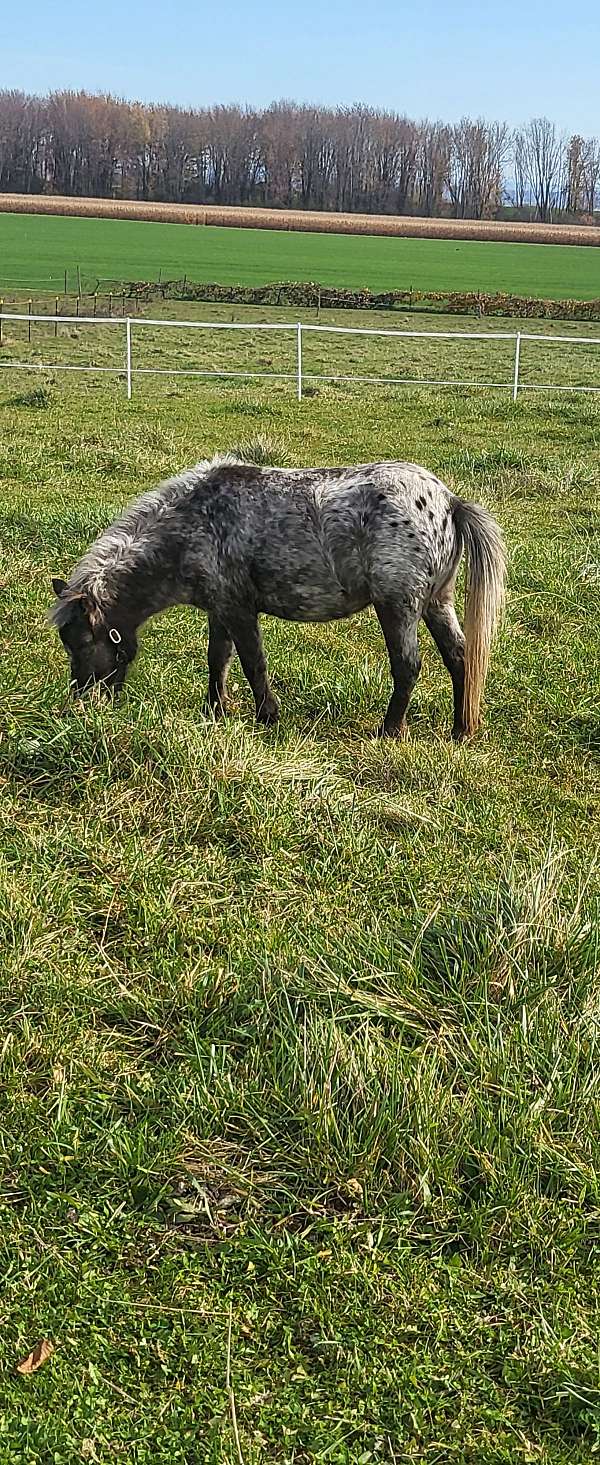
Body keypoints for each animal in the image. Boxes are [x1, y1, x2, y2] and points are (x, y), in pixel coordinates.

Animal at [49, 454, 503, 738]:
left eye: (84, 641)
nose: (83, 701)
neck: (193, 525)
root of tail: (448, 501)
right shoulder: (220, 610)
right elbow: (219, 660)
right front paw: (216, 710)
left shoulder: (238, 609)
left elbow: (253, 663)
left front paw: (267, 715)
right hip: (436, 604)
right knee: (461, 659)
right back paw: (461, 730)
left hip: (398, 607)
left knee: (408, 666)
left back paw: (390, 731)